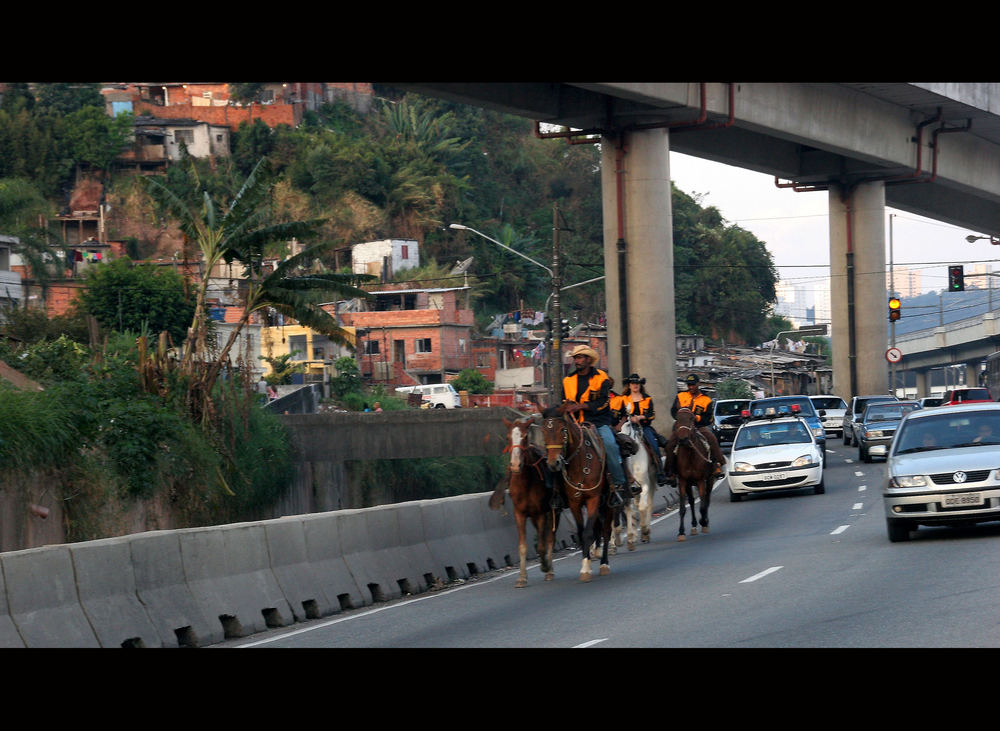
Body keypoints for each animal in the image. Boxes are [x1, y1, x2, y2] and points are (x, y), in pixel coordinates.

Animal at [494, 418, 560, 588]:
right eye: (508, 437)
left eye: (525, 437)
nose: (515, 465)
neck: (526, 482)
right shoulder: (520, 513)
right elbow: (522, 546)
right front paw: (522, 578)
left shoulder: (541, 512)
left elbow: (543, 544)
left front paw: (545, 566)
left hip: (553, 511)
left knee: (550, 538)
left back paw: (549, 569)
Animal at [544, 404, 612, 580]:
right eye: (543, 430)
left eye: (562, 429)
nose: (554, 463)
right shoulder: (575, 503)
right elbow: (582, 533)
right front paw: (585, 563)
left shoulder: (593, 498)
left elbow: (588, 533)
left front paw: (586, 569)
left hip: (610, 504)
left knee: (606, 530)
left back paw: (604, 563)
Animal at [668, 408, 716, 540]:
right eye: (677, 418)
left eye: (692, 418)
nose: (683, 439)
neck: (690, 454)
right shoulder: (683, 481)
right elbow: (683, 508)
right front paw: (681, 532)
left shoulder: (701, 480)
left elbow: (703, 506)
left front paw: (703, 522)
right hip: (689, 484)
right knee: (692, 501)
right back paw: (694, 525)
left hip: (710, 479)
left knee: (707, 499)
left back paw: (705, 521)